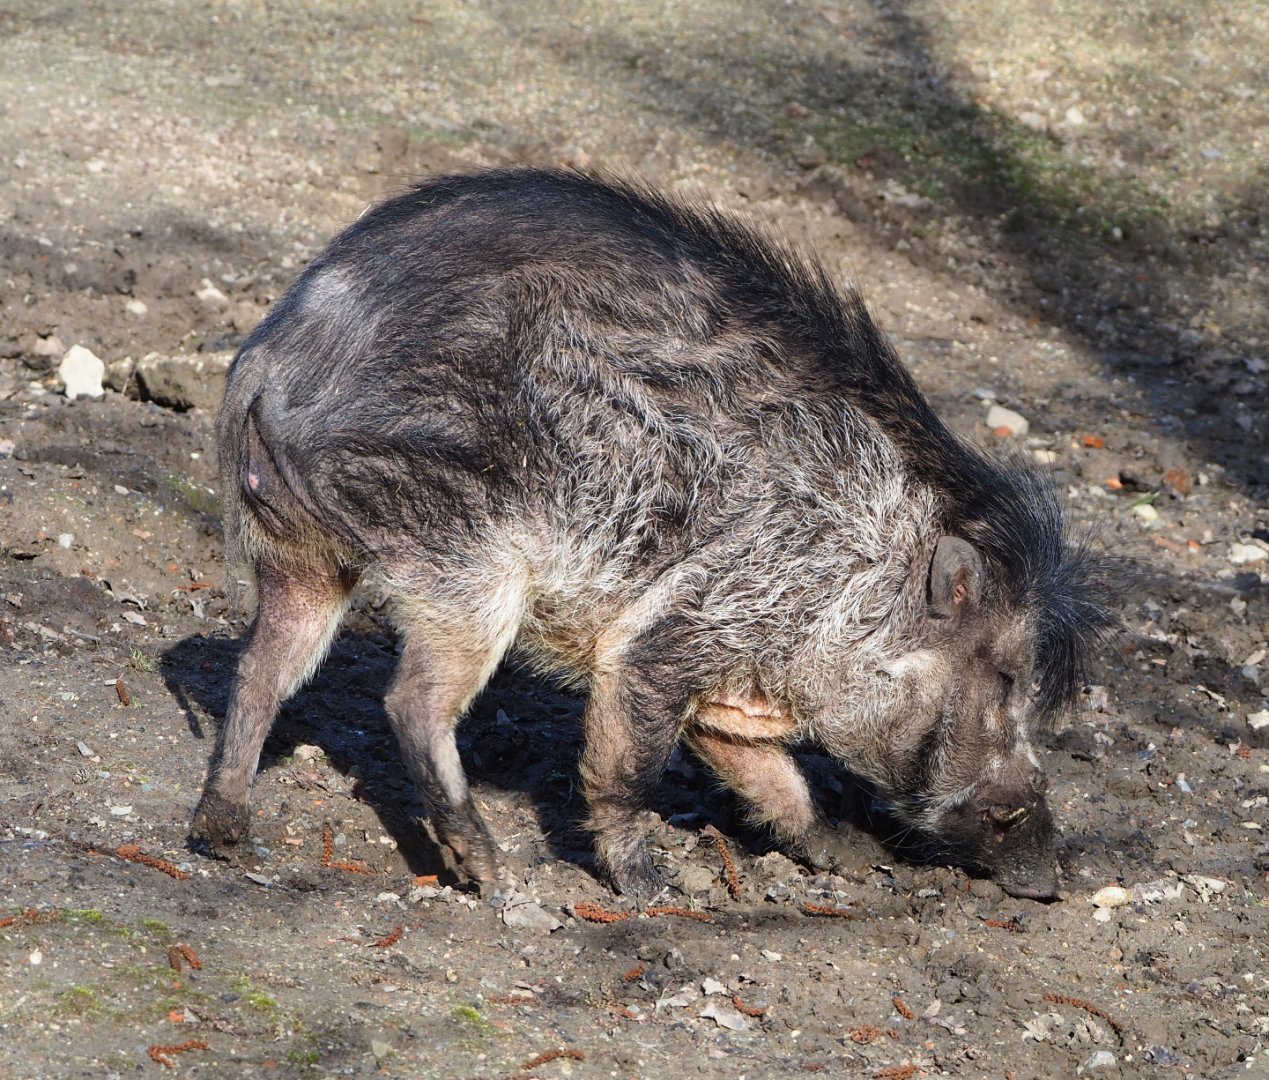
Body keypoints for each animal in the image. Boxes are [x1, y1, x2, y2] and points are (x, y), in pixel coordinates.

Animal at [191, 168, 1117, 903]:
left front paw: (849, 856)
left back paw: (224, 834)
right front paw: (649, 888)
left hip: (299, 551)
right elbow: (625, 765)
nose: (1051, 881)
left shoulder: (732, 692)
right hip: (468, 556)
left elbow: (772, 780)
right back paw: (489, 873)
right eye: (1004, 677)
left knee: (260, 670)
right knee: (409, 700)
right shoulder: (668, 633)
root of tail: (274, 359)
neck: (853, 564)